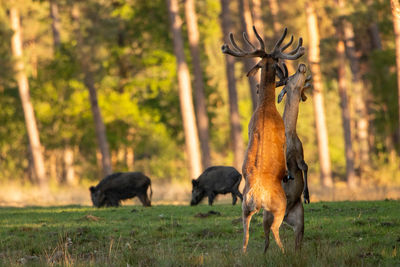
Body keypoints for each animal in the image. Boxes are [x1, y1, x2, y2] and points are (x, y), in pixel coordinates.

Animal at [222, 27, 304, 253]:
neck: (266, 107)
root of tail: (258, 197)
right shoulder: (283, 135)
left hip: (245, 208)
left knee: (246, 235)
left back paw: (245, 253)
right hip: (279, 207)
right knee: (275, 230)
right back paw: (284, 252)